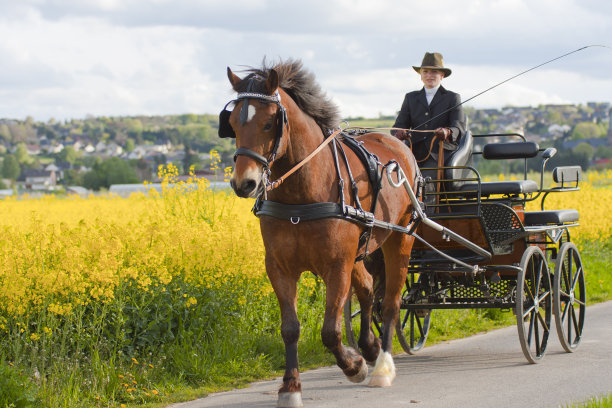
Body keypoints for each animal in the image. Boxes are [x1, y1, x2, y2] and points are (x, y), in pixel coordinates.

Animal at [221, 59, 420, 408]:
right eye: (232, 122)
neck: (301, 196)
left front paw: (353, 366)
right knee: (368, 289)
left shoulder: (336, 266)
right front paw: (290, 387)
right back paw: (369, 347)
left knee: (391, 303)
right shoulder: (279, 268)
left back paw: (382, 366)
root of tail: (399, 145)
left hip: (400, 239)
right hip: (361, 249)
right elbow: (290, 328)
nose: (244, 183)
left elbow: (330, 330)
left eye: (269, 122)